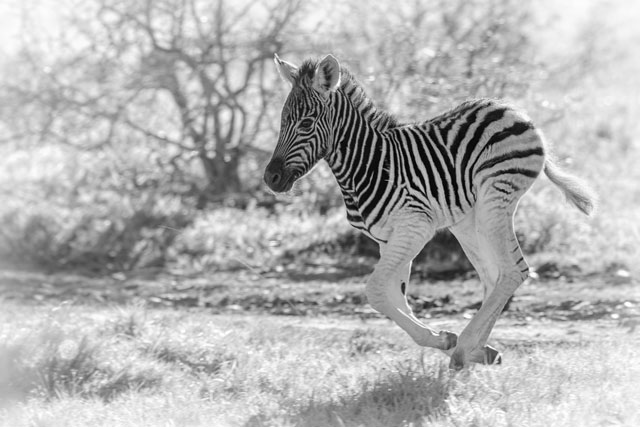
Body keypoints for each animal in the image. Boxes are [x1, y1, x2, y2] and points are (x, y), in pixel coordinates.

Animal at [264, 52, 596, 368]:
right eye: (282, 121)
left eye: (306, 124)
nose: (271, 178)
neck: (369, 163)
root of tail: (513, 110)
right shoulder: (388, 238)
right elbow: (394, 294)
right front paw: (444, 338)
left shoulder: (415, 228)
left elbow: (375, 290)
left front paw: (446, 340)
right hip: (468, 219)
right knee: (494, 275)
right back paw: (478, 349)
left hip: (495, 199)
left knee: (514, 270)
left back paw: (464, 350)